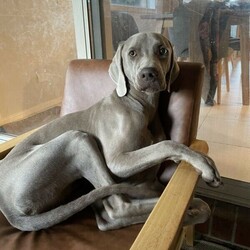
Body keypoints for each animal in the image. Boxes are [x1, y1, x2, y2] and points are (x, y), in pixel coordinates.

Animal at [0, 32, 221, 231]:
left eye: (162, 51)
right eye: (132, 53)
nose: (148, 73)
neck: (141, 106)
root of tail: (6, 208)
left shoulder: (149, 176)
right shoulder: (117, 162)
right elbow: (167, 144)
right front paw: (204, 162)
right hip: (76, 140)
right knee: (117, 208)